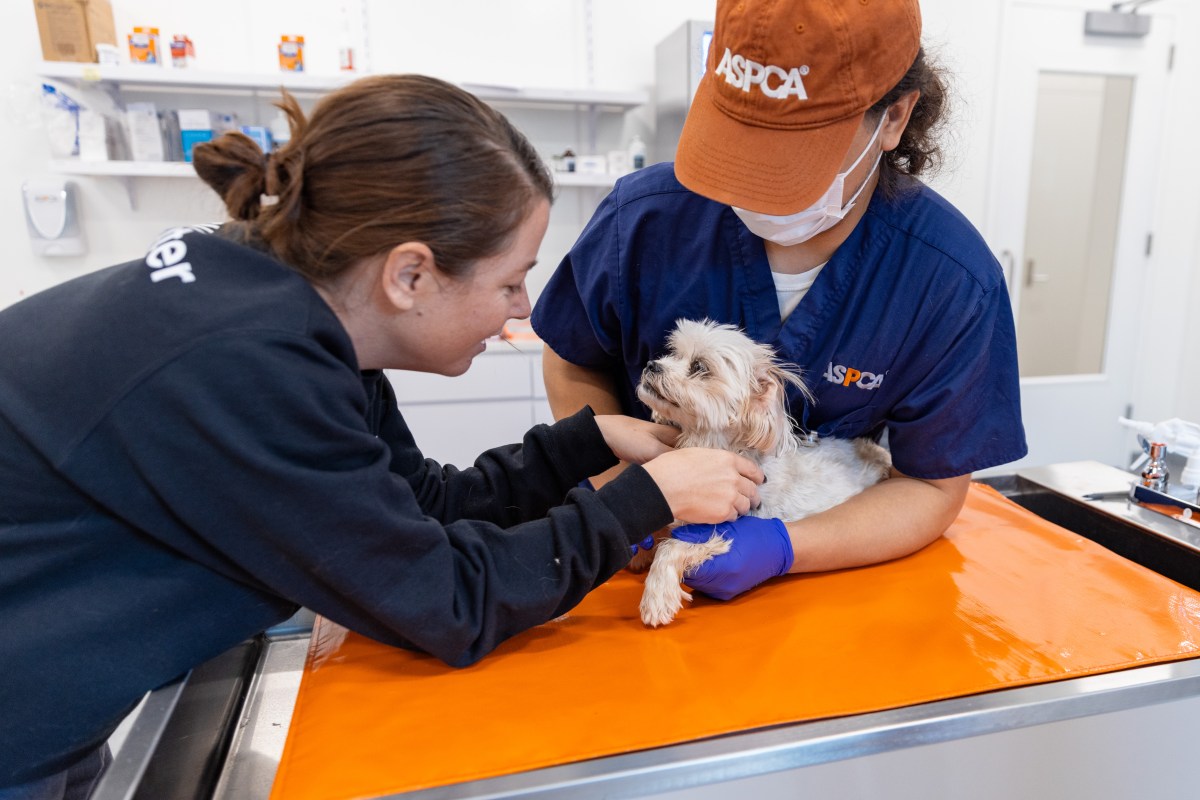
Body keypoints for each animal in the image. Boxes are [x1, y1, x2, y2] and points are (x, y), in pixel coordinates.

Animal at [638, 316, 892, 623]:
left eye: (699, 367)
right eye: (673, 354)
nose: (651, 365)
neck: (712, 446)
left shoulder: (724, 529)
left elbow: (673, 546)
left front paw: (656, 593)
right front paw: (640, 552)